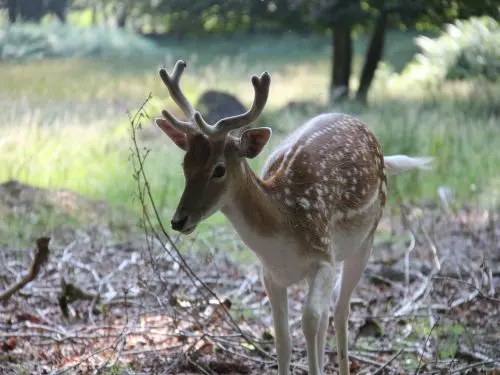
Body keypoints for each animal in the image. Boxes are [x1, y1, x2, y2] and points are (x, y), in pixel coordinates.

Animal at [154, 60, 432, 374]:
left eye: (219, 169)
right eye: (185, 164)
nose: (178, 220)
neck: (282, 230)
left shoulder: (323, 257)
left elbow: (308, 321)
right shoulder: (270, 274)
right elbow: (282, 339)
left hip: (366, 239)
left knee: (340, 309)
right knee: (328, 312)